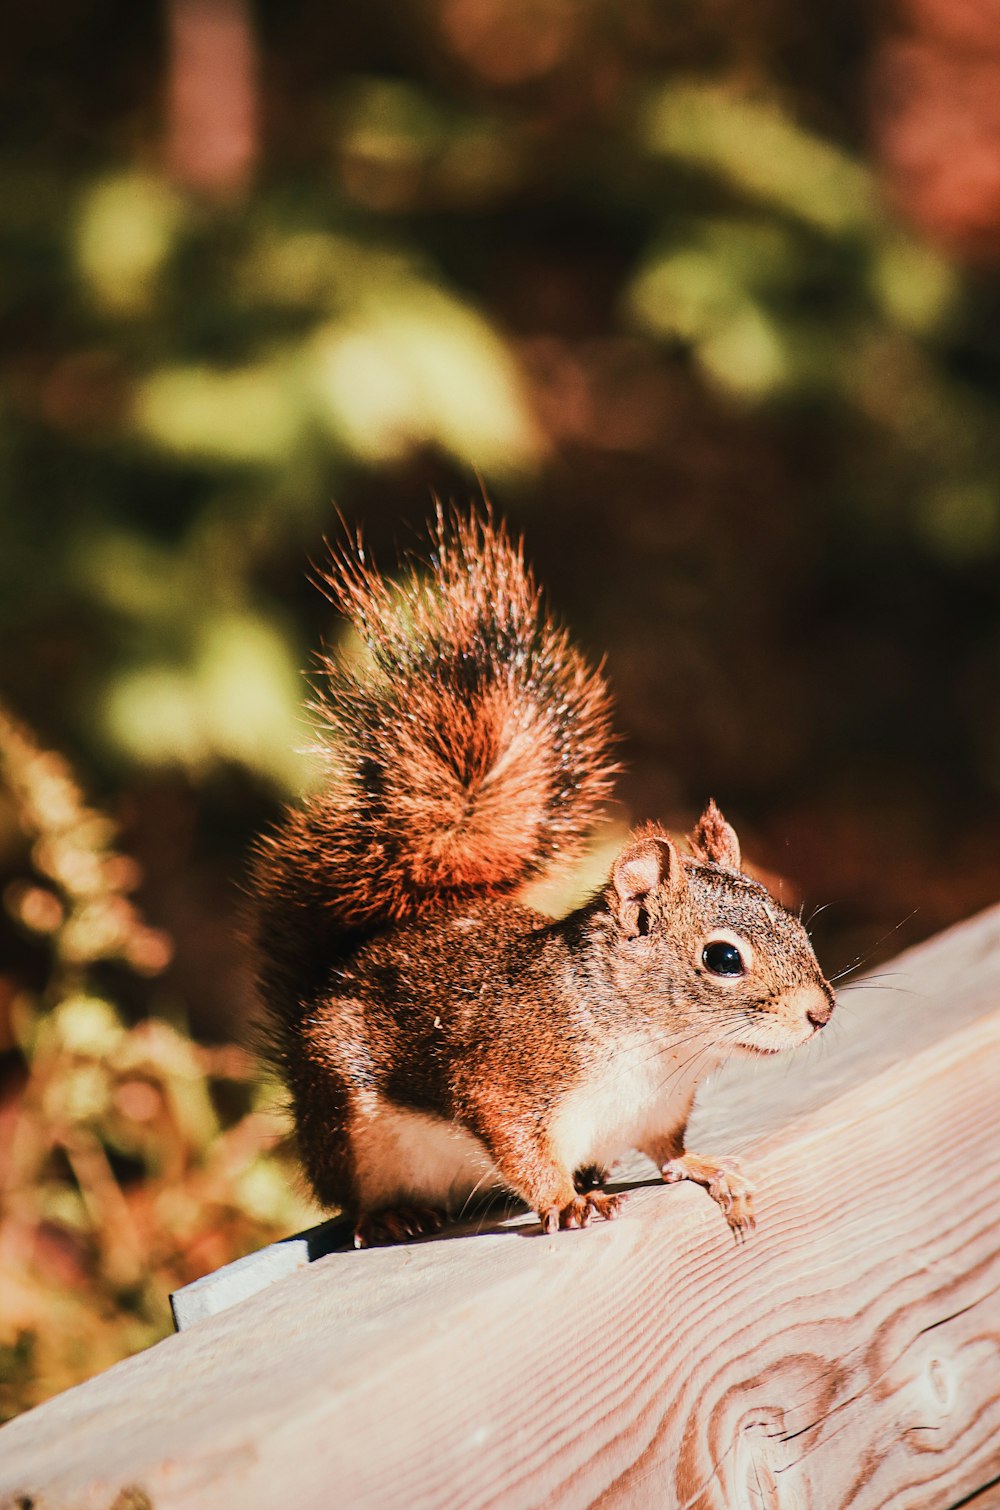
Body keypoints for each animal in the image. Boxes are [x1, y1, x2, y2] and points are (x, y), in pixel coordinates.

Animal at [252, 513, 839, 1244]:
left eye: (794, 924)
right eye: (723, 959)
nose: (821, 1012)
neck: (655, 1044)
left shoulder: (658, 1110)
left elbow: (669, 1153)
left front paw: (708, 1168)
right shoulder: (508, 1080)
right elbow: (522, 1151)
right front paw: (565, 1201)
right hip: (345, 1127)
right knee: (352, 1197)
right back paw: (393, 1214)